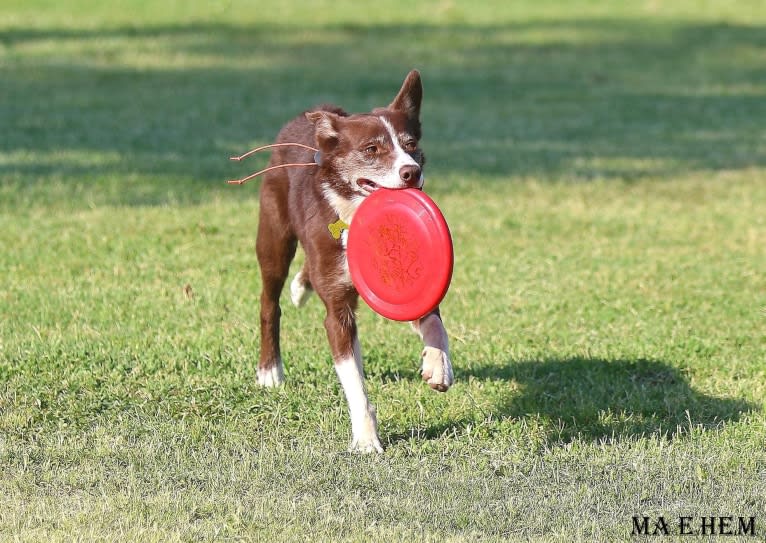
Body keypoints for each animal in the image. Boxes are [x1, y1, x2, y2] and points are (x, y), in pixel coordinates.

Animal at [255, 72, 452, 454]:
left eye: (410, 144)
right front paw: (365, 440)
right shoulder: (337, 310)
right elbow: (354, 384)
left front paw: (438, 367)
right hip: (274, 239)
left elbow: (434, 321)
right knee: (269, 303)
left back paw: (301, 286)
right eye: (371, 149)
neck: (352, 211)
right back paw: (270, 371)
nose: (411, 172)